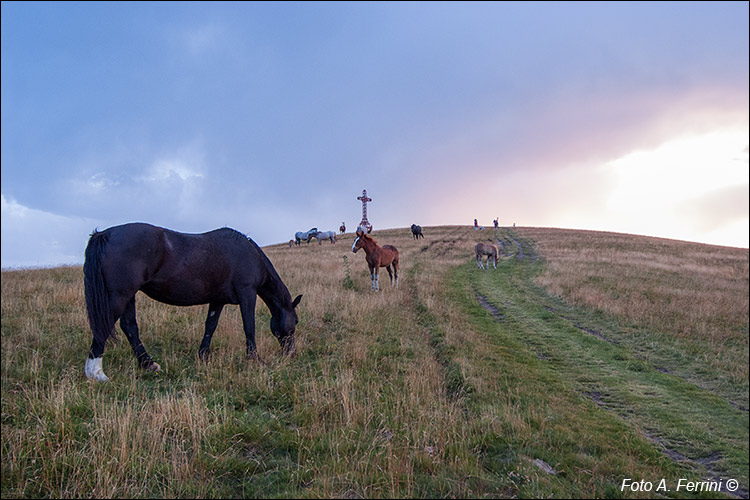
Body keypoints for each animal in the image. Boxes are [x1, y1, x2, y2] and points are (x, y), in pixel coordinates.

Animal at [83, 221, 302, 380]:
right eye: (296, 321)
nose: (291, 354)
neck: (249, 254)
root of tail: (105, 234)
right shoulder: (247, 294)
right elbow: (249, 326)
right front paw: (255, 360)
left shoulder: (217, 300)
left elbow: (210, 326)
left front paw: (203, 355)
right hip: (120, 296)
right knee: (105, 327)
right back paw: (96, 373)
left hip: (128, 297)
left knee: (129, 327)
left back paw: (148, 364)